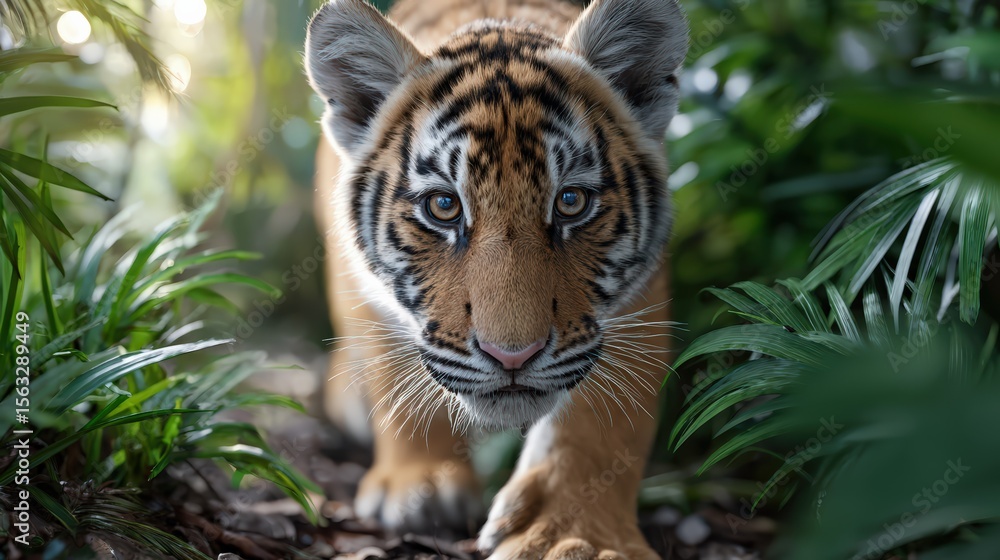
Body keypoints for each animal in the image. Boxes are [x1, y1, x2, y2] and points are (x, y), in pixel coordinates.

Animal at [305, 0, 688, 557]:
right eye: (444, 206)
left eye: (571, 201)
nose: (512, 357)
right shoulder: (359, 284)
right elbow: (394, 373)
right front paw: (421, 486)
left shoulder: (638, 298)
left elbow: (600, 423)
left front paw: (572, 535)